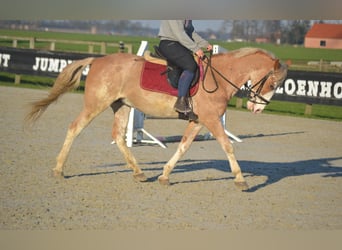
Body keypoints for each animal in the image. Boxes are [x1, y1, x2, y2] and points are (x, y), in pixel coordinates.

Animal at [26, 47, 288, 191]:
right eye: (272, 84)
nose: (257, 108)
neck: (218, 78)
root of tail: (98, 60)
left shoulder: (198, 121)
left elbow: (183, 147)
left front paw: (164, 175)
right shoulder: (212, 120)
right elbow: (228, 146)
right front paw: (241, 179)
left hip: (122, 105)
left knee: (118, 136)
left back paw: (139, 172)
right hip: (96, 104)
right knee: (75, 128)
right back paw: (58, 169)